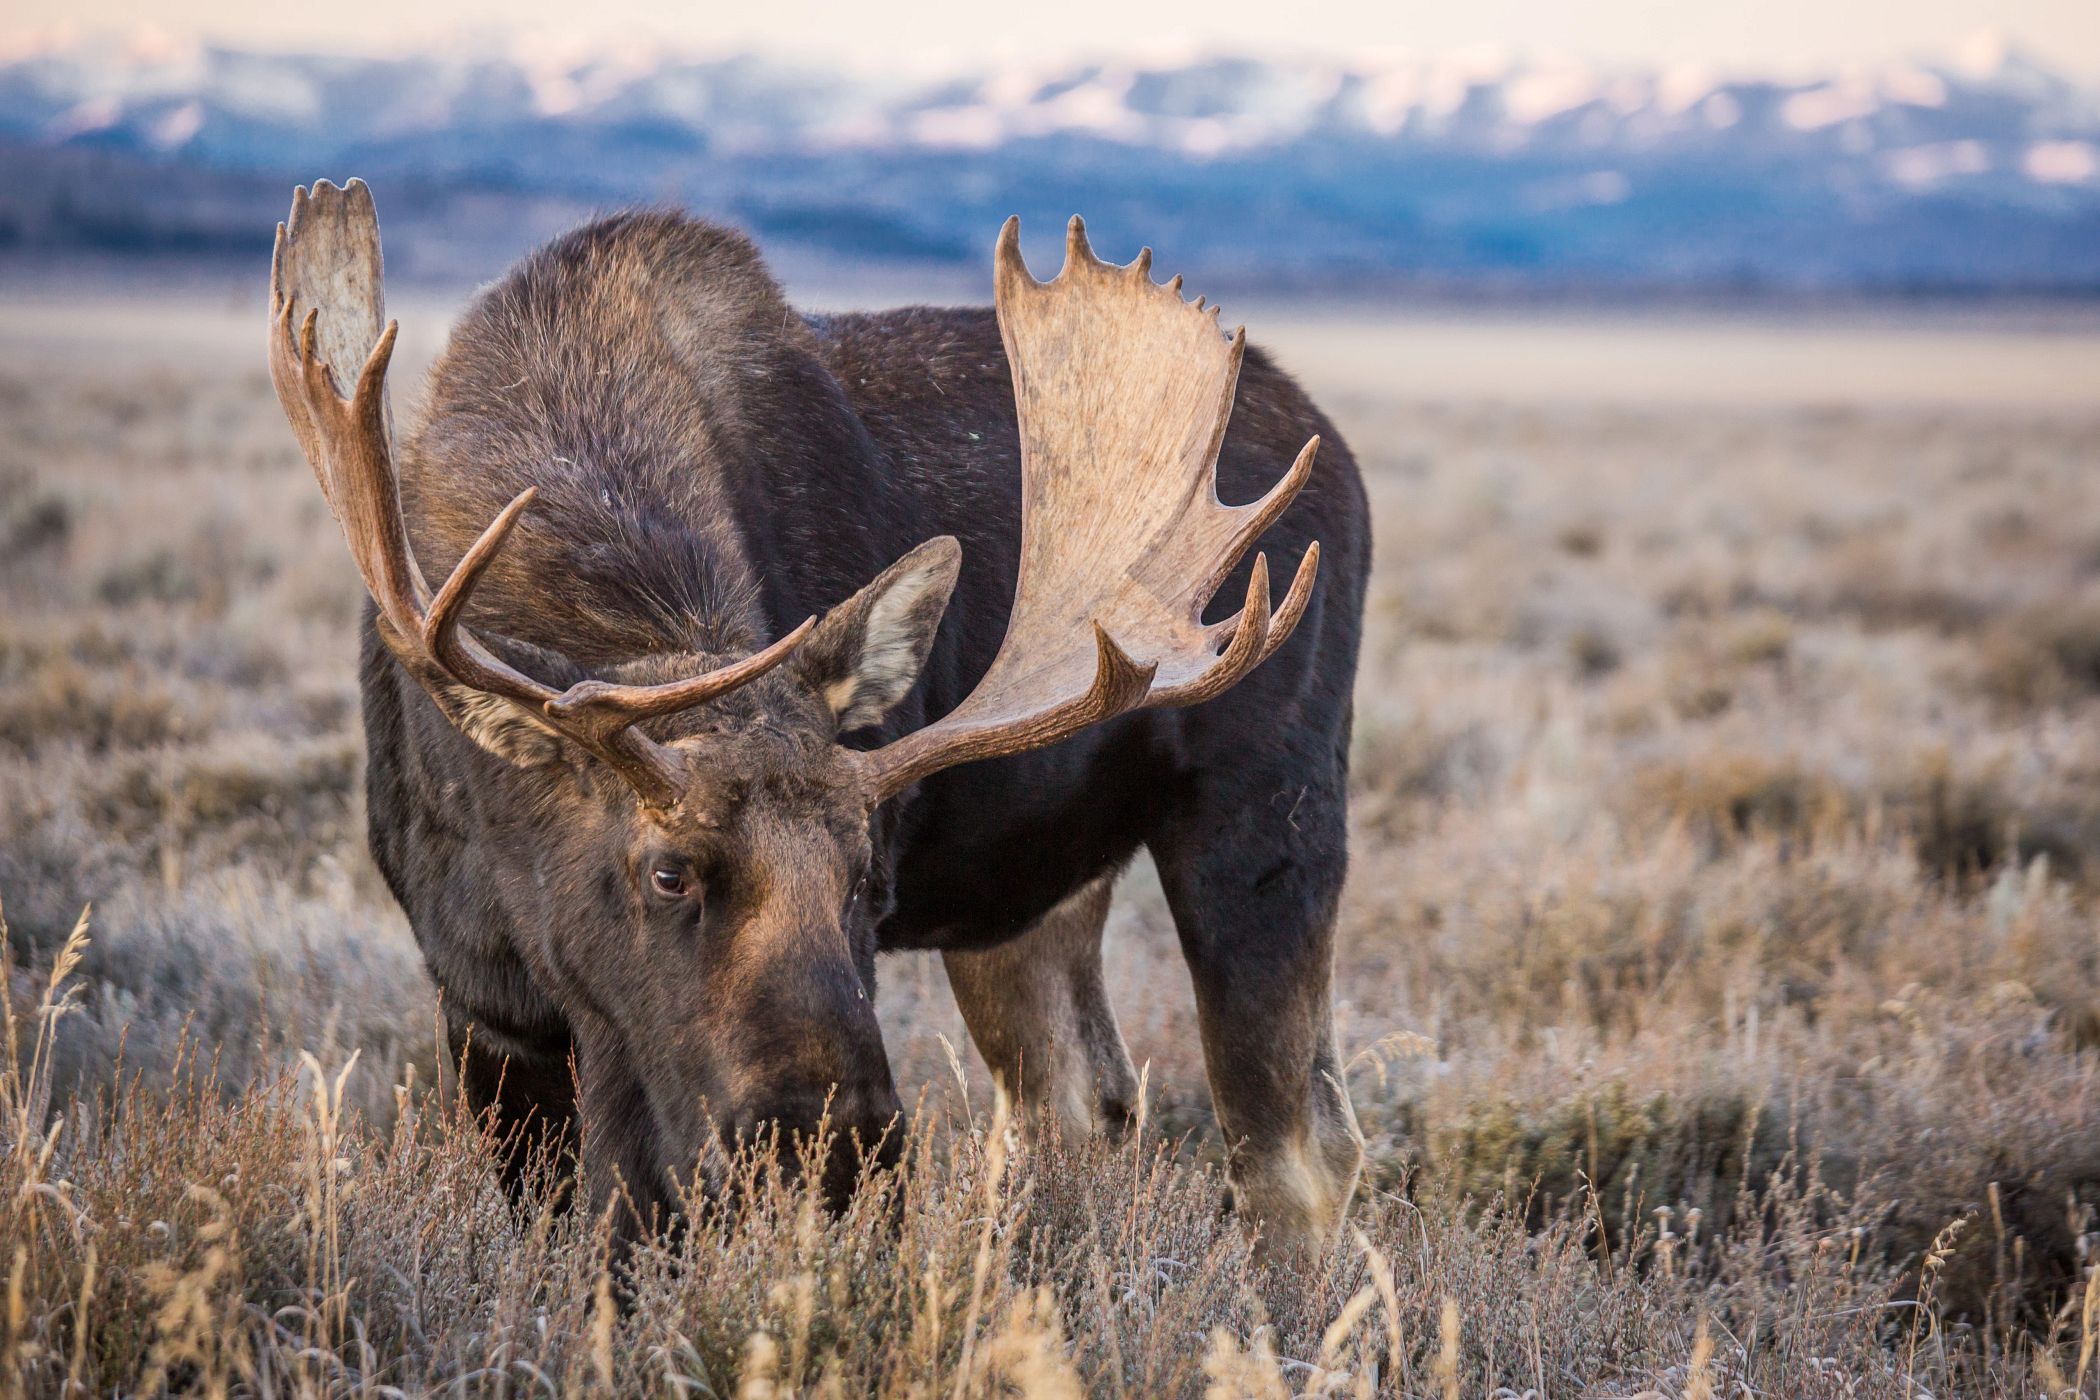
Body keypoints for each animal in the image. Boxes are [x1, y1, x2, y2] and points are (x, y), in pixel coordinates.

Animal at [262, 178, 1369, 1259]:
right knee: (1078, 1106)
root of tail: (1343, 461)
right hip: (1031, 897)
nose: (836, 1145)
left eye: (866, 876)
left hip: (1268, 810)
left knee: (1299, 1155)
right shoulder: (482, 1001)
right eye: (669, 871)